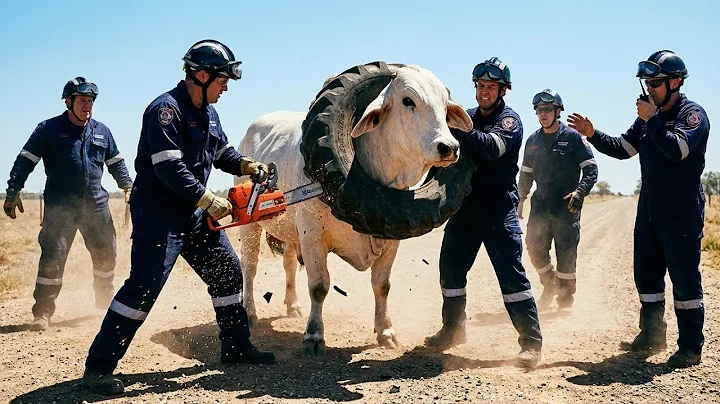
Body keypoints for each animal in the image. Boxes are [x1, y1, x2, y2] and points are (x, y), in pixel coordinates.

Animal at [236, 65, 472, 355]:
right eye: (408, 100)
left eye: (444, 104)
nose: (449, 147)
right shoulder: (312, 236)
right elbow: (319, 286)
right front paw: (314, 336)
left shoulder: (391, 238)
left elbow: (382, 285)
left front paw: (386, 332)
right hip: (251, 225)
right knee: (250, 267)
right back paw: (250, 313)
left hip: (289, 231)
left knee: (289, 263)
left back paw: (293, 306)